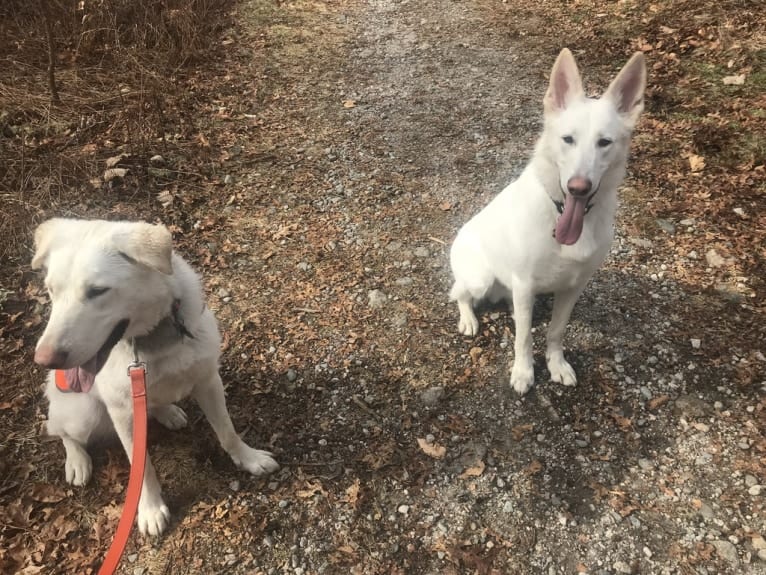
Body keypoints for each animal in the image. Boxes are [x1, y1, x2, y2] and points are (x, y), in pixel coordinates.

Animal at [33, 219, 280, 536]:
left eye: (97, 291)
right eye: (51, 290)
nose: (45, 358)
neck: (152, 338)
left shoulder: (208, 381)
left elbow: (227, 432)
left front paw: (249, 459)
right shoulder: (123, 414)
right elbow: (143, 467)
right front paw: (150, 509)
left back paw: (168, 412)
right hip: (82, 414)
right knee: (60, 431)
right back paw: (77, 460)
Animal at [450, 49, 648, 396]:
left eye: (605, 142)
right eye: (567, 139)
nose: (578, 187)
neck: (560, 214)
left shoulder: (573, 287)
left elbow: (556, 331)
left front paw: (556, 364)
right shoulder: (525, 283)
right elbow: (523, 338)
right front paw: (523, 371)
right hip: (480, 277)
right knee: (460, 292)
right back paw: (469, 319)